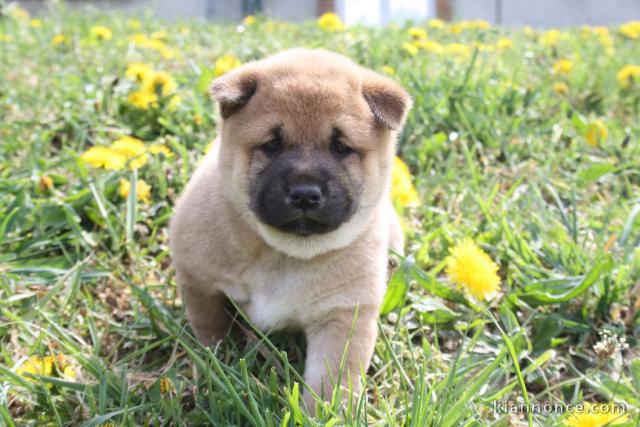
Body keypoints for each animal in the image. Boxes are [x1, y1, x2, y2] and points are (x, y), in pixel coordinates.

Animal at [168, 47, 412, 412]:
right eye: (272, 145)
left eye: (341, 147)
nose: (305, 193)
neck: (284, 254)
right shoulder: (199, 281)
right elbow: (211, 326)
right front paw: (217, 361)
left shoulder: (342, 316)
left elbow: (332, 381)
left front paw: (322, 414)